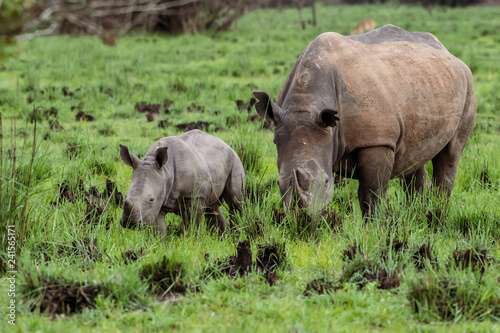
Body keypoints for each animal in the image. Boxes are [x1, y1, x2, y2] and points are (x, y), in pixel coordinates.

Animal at [256, 23, 478, 215]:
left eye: (327, 182)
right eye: (278, 184)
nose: (301, 216)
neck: (307, 103)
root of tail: (447, 51)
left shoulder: (378, 140)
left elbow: (371, 193)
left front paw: (373, 228)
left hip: (467, 84)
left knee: (450, 155)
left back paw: (437, 214)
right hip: (424, 84)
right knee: (414, 156)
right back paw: (415, 215)